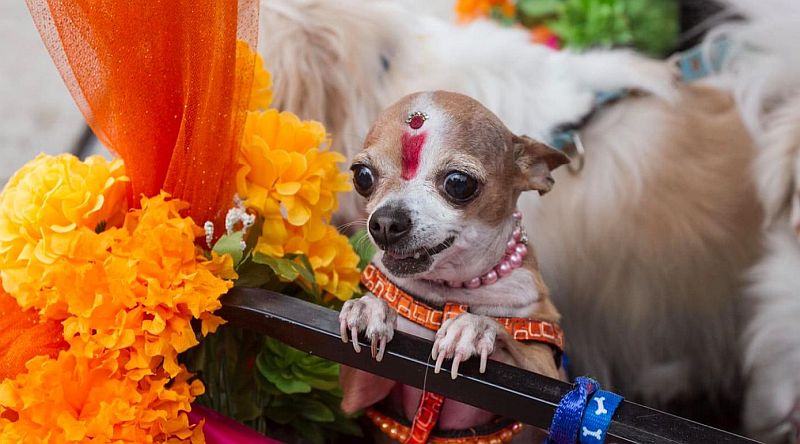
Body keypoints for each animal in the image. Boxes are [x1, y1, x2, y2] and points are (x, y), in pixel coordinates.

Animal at [338, 91, 568, 440]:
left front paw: (473, 328)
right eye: (362, 176)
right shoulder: (360, 394)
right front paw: (369, 308)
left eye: (459, 184)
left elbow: (513, 347)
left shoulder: (546, 388)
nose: (386, 222)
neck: (451, 295)